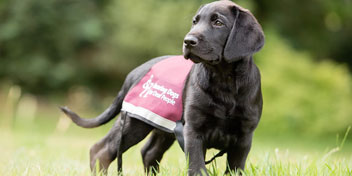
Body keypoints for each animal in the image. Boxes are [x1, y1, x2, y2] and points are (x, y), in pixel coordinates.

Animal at [60, 0, 264, 175]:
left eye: (218, 22)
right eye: (195, 21)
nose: (188, 41)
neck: (224, 81)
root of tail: (134, 72)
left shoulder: (244, 137)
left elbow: (234, 169)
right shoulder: (193, 131)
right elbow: (197, 167)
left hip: (164, 127)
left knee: (148, 152)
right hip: (134, 122)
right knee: (100, 150)